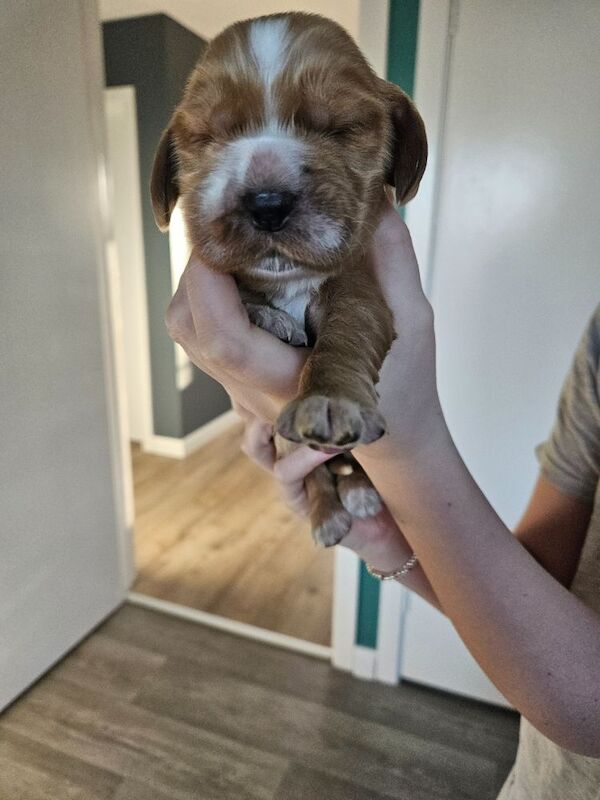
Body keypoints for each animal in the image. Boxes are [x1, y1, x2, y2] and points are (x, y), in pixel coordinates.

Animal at [152, 12, 428, 548]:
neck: (292, 283)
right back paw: (328, 515)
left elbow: (347, 331)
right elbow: (245, 292)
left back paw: (361, 492)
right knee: (319, 471)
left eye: (341, 128)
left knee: (347, 463)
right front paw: (271, 318)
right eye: (204, 138)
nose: (267, 203)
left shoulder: (361, 289)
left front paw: (328, 399)